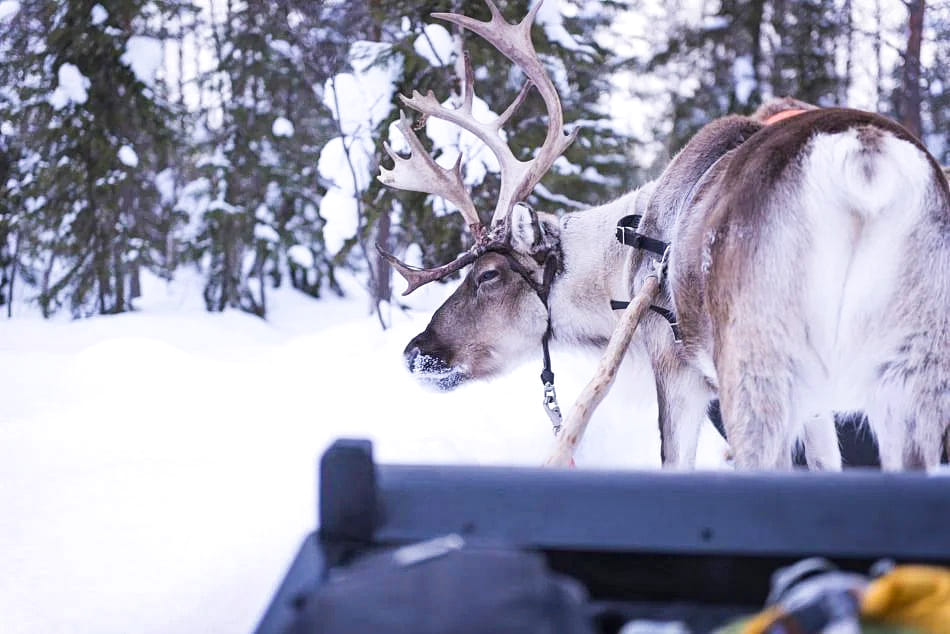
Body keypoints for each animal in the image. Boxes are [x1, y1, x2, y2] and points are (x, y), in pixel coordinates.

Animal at [377, 0, 950, 471]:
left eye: (488, 275)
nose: (414, 352)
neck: (622, 266)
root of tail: (863, 162)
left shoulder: (677, 371)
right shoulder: (816, 403)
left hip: (760, 366)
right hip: (910, 375)